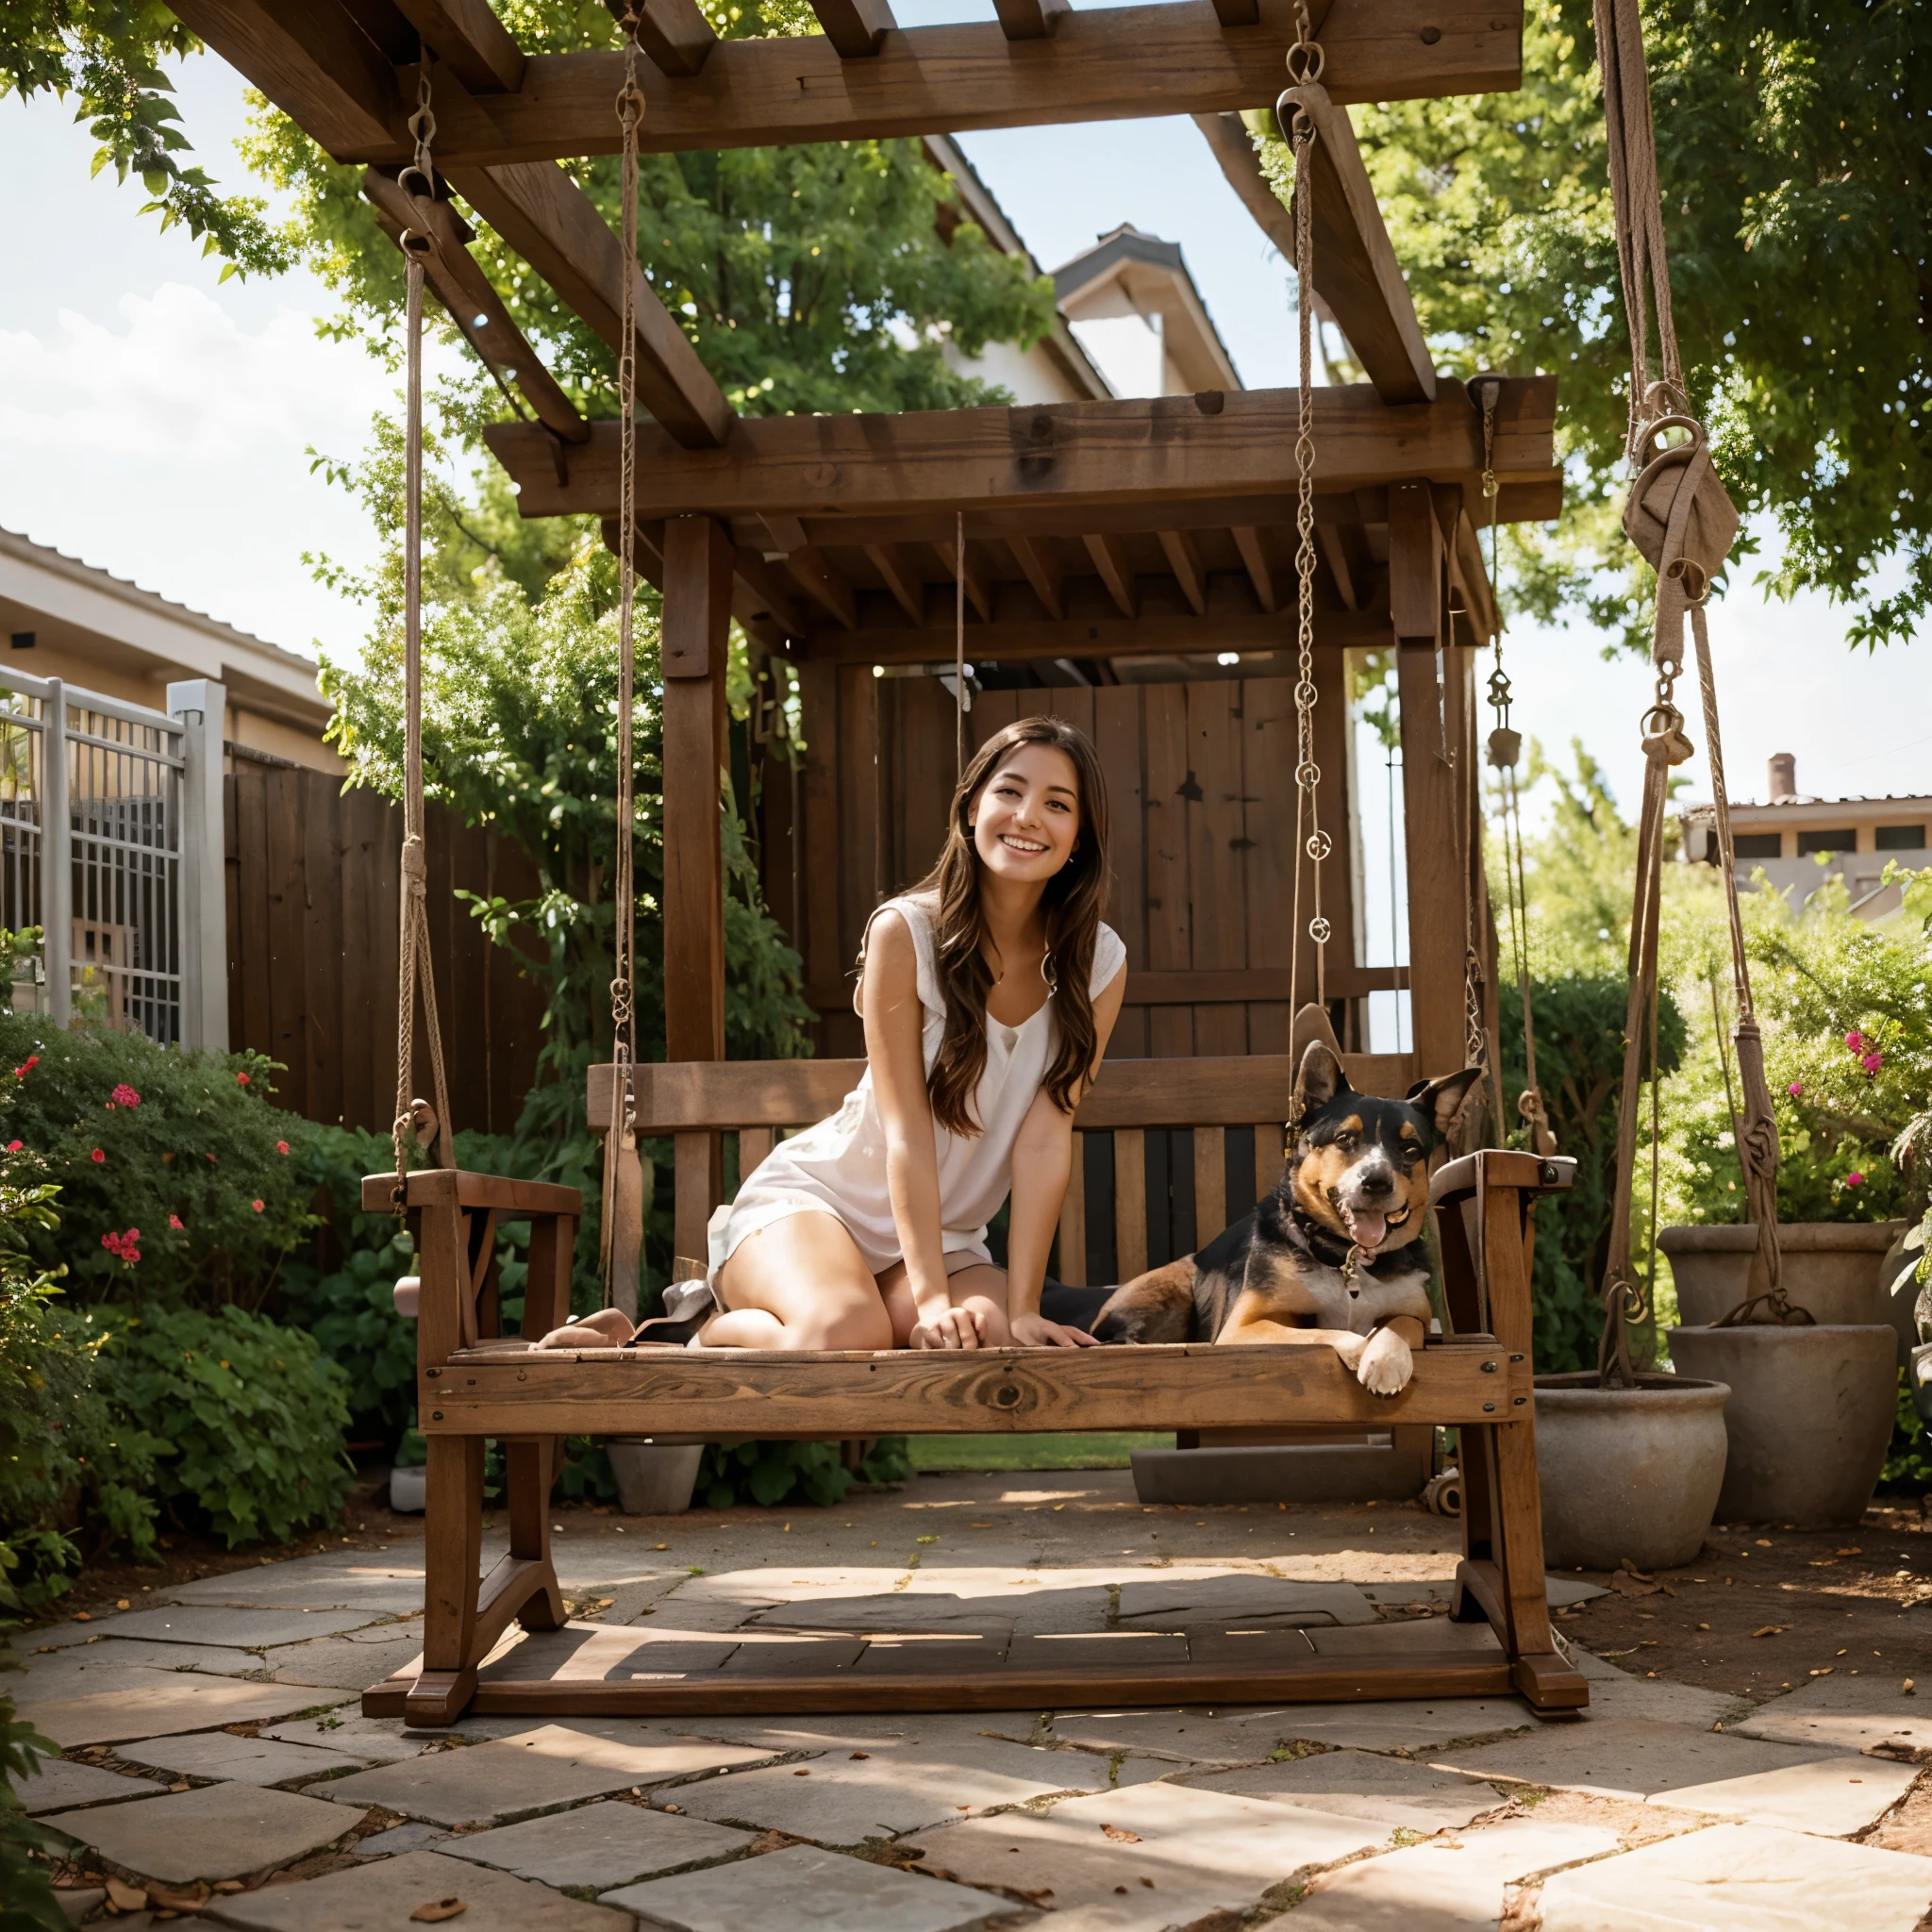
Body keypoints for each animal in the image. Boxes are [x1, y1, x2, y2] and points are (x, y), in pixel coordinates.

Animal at [1090, 1051, 1475, 1398]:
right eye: (1344, 1138)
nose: (1376, 1182)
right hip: (1170, 1288)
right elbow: (1322, 1334)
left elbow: (1399, 1324)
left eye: (1410, 1149)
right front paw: (1360, 1349)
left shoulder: (1415, 1315)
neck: (1346, 1257)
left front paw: (1386, 1359)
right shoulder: (1243, 1328)